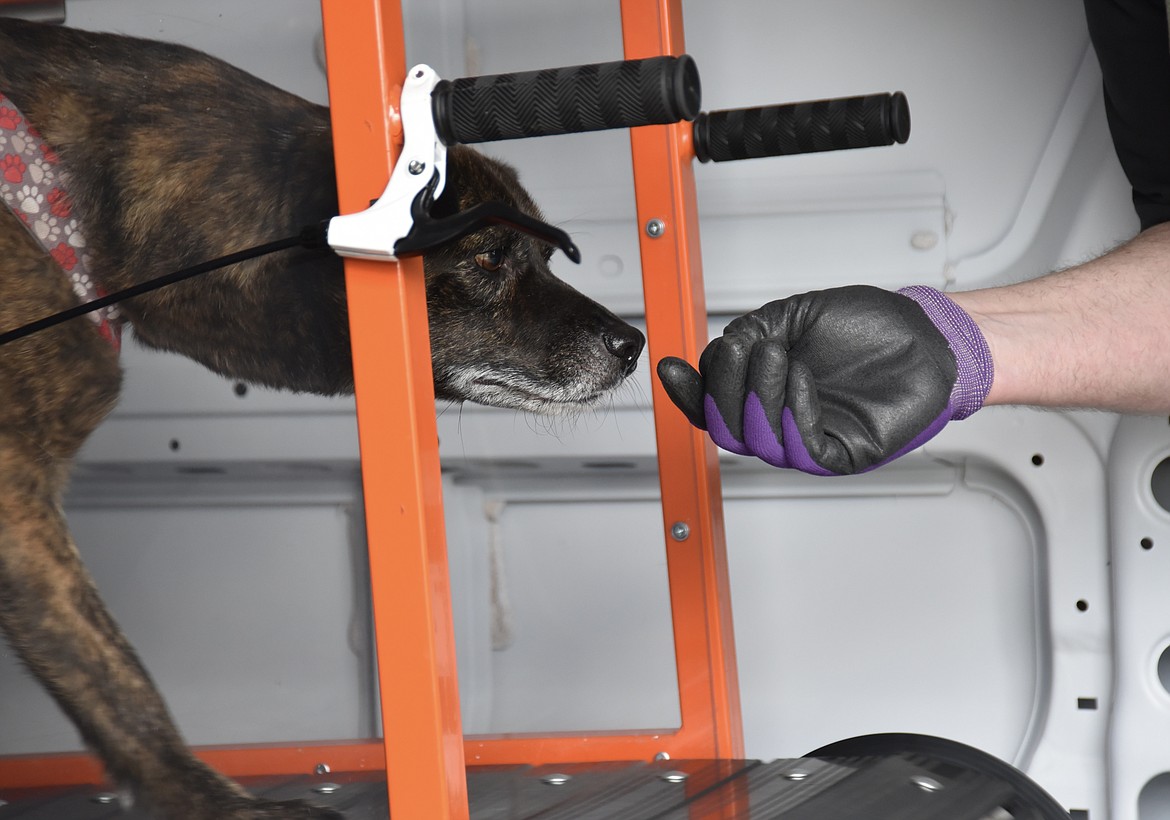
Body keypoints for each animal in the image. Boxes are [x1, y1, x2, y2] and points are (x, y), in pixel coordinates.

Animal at [0, 14, 641, 818]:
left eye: (545, 257)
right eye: (490, 257)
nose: (633, 345)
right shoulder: (16, 489)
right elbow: (116, 679)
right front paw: (222, 806)